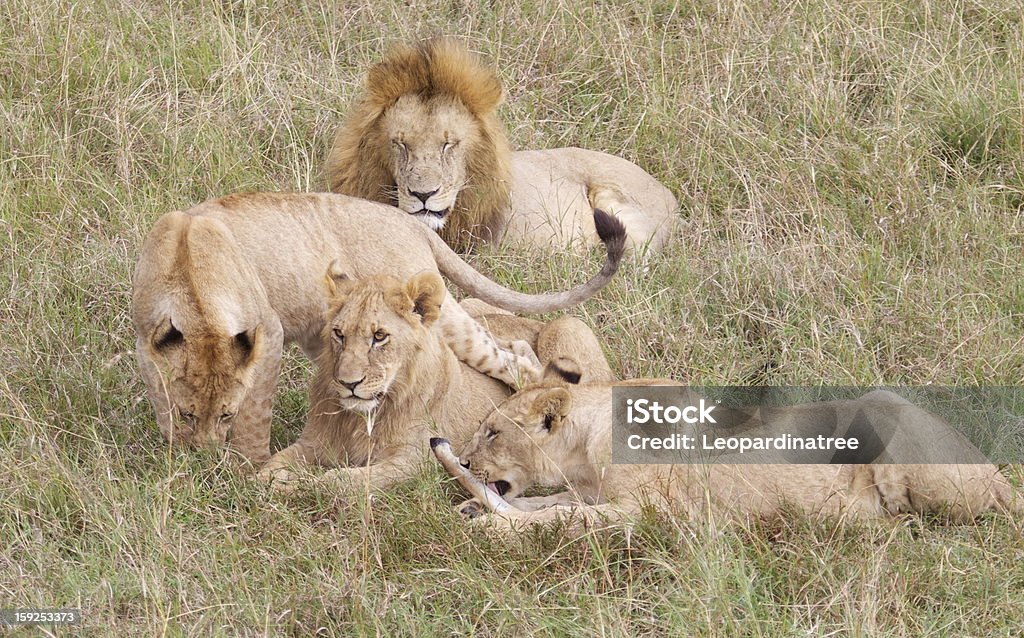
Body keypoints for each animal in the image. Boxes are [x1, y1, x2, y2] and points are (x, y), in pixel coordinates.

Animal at [132, 190, 626, 464]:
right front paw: (176, 452)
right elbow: (160, 396)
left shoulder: (268, 333)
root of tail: (407, 219)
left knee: (517, 361)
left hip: (441, 320)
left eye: (227, 415)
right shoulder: (146, 343)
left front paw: (243, 469)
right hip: (332, 341)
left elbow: (256, 416)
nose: (205, 458)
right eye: (189, 414)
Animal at [256, 270, 610, 493]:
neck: (364, 418)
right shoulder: (313, 443)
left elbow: (343, 481)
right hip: (466, 308)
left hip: (566, 327)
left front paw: (300, 486)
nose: (349, 383)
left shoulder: (414, 462)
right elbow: (268, 469)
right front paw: (276, 481)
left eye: (379, 336)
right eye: (339, 334)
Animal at [456, 366, 1015, 532]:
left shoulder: (653, 512)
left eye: (492, 432)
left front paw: (495, 526)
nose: (461, 461)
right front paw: (476, 507)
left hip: (887, 416)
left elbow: (566, 516)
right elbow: (554, 501)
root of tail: (999, 475)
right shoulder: (594, 491)